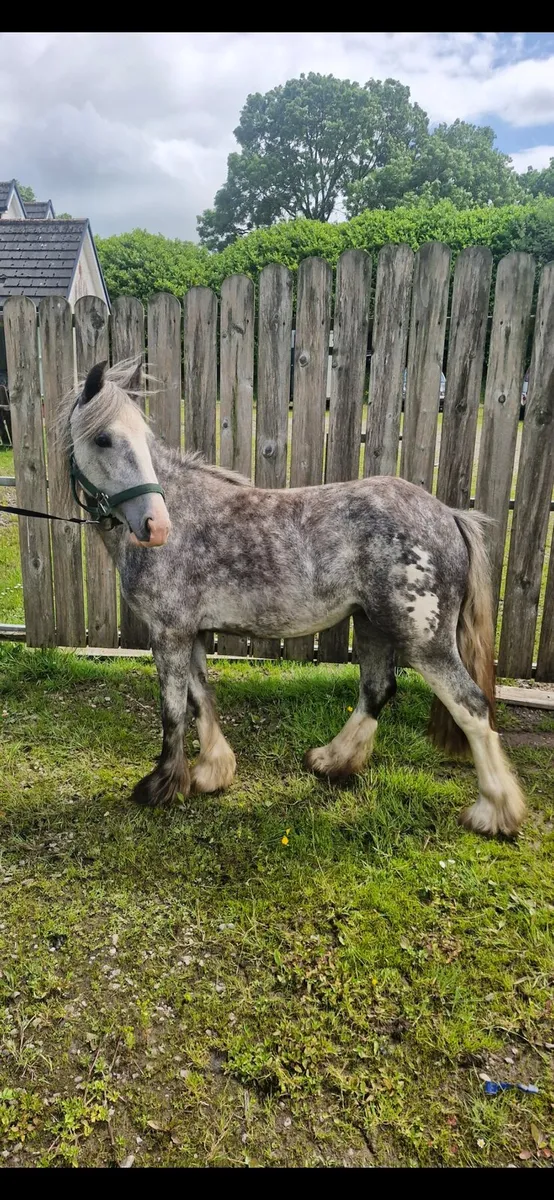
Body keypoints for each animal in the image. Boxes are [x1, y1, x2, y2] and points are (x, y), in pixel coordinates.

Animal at [58, 358, 526, 838]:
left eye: (143, 438)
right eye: (103, 438)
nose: (156, 526)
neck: (185, 515)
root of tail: (449, 514)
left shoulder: (169, 634)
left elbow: (172, 710)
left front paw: (163, 786)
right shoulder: (190, 633)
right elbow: (200, 697)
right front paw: (212, 772)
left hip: (424, 642)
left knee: (471, 707)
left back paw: (493, 812)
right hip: (372, 625)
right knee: (377, 690)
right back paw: (332, 761)